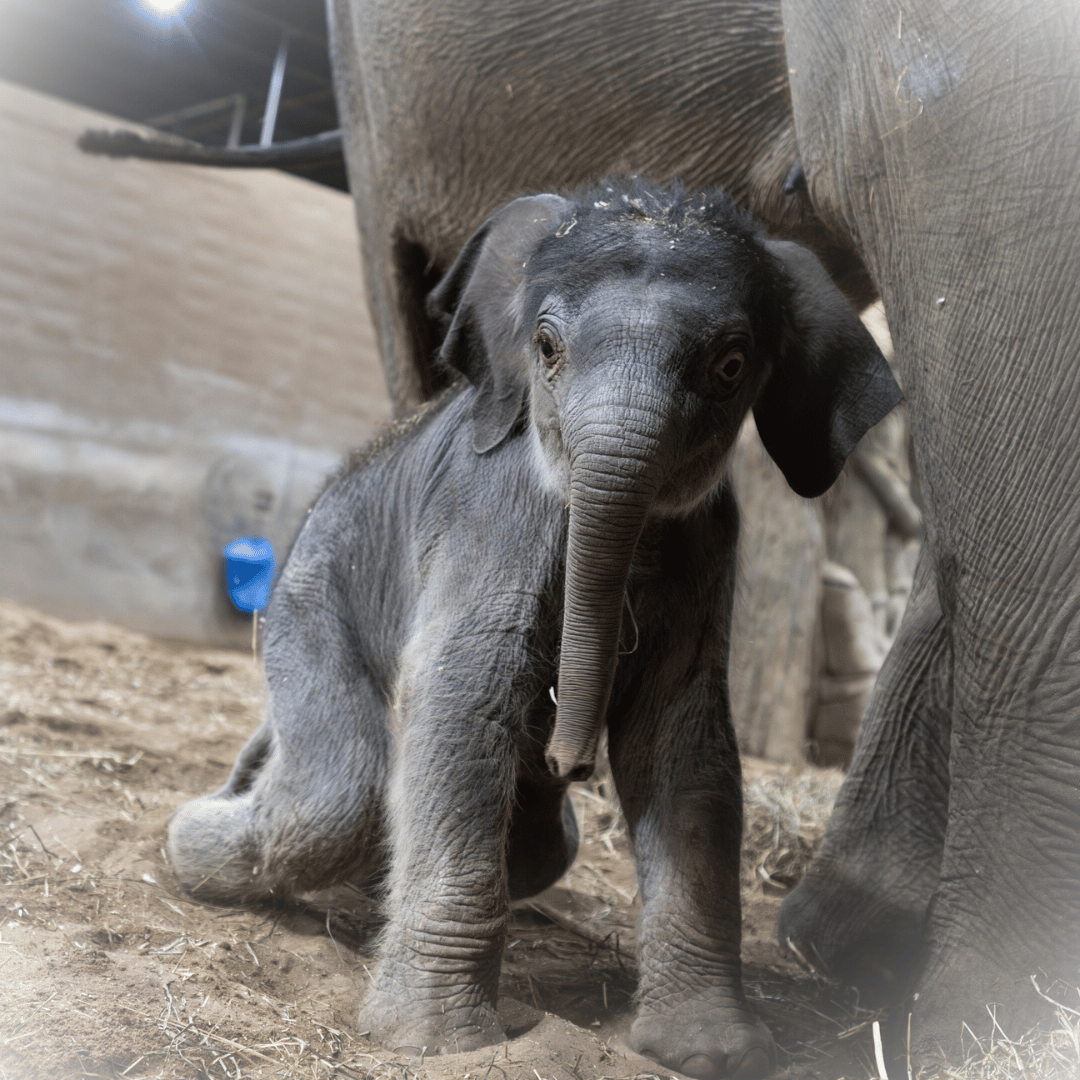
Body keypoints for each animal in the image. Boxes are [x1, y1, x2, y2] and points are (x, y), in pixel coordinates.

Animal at [167, 179, 900, 1079]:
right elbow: (463, 695)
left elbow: (682, 739)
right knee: (342, 791)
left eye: (730, 368)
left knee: (531, 842)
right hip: (307, 600)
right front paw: (436, 1044)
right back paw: (192, 834)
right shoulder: (498, 512)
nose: (567, 759)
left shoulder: (711, 544)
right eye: (547, 347)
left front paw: (710, 1054)